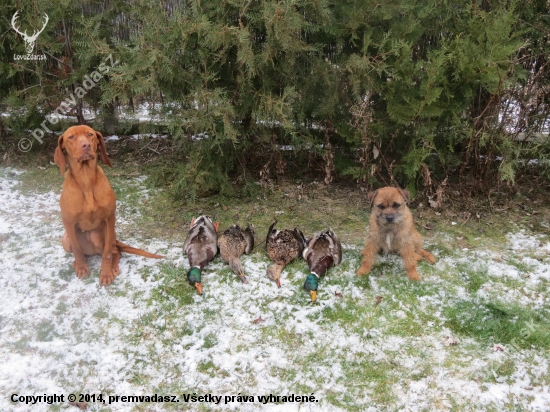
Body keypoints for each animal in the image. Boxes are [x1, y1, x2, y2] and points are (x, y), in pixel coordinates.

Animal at [55, 125, 164, 286]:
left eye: (90, 134)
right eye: (71, 137)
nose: (85, 145)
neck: (86, 179)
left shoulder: (109, 218)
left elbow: (107, 253)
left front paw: (106, 273)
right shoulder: (68, 221)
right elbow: (77, 249)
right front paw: (81, 267)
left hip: (106, 236)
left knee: (114, 251)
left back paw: (113, 267)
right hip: (65, 238)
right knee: (81, 252)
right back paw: (77, 263)